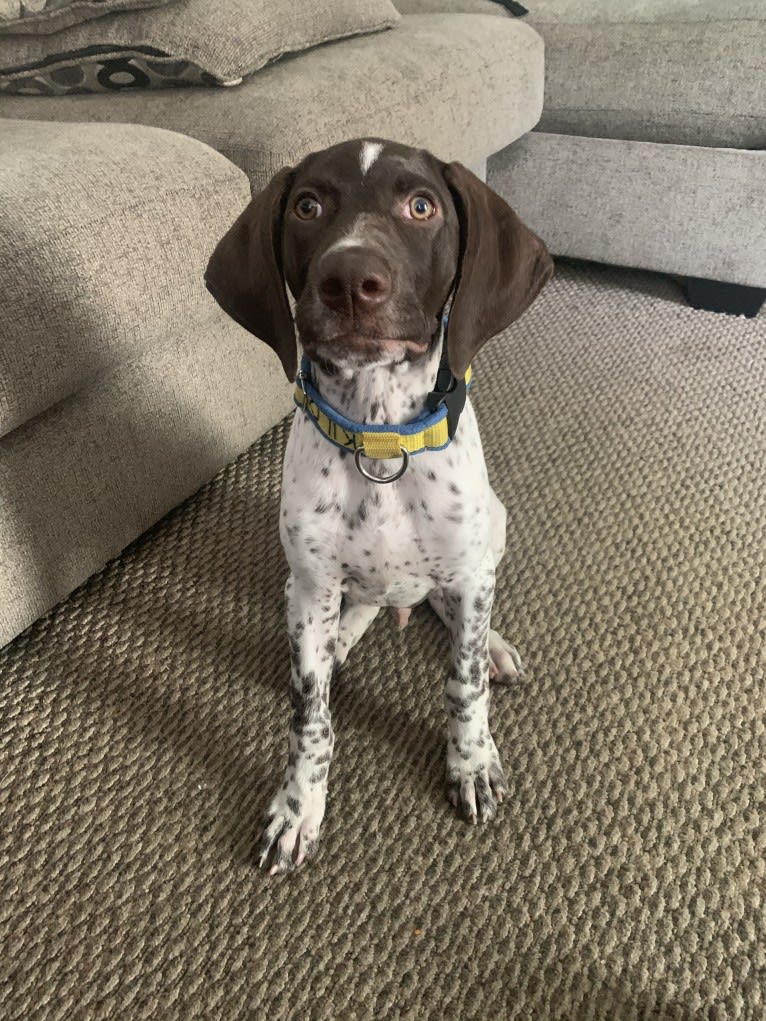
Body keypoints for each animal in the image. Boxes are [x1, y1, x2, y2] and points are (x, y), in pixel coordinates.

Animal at [204, 135, 551, 873]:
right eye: (308, 207)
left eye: (421, 206)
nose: (349, 280)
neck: (379, 431)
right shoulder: (312, 585)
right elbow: (310, 717)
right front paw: (299, 807)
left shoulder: (468, 570)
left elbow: (464, 683)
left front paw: (471, 762)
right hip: (307, 585)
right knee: (347, 616)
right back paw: (340, 639)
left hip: (492, 530)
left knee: (457, 608)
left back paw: (492, 645)